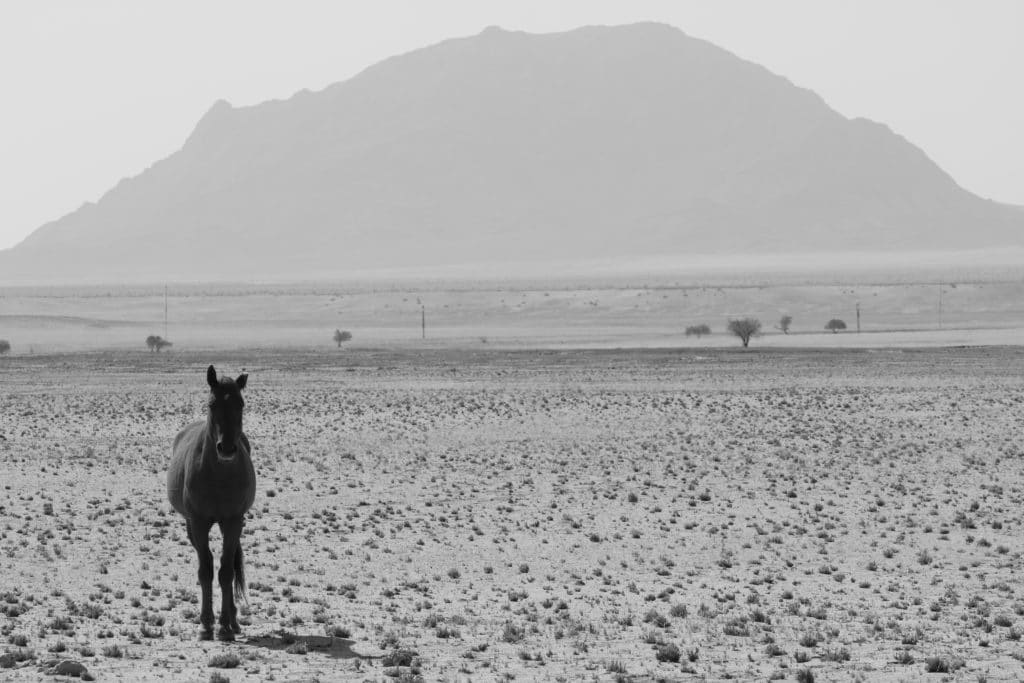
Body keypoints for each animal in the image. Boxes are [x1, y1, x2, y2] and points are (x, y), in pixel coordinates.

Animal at [166, 366, 254, 638]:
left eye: (241, 404)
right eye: (212, 403)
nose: (226, 448)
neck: (218, 475)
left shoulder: (233, 521)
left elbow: (226, 572)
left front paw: (225, 625)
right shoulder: (199, 522)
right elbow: (205, 570)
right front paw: (206, 624)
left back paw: (233, 620)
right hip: (191, 526)